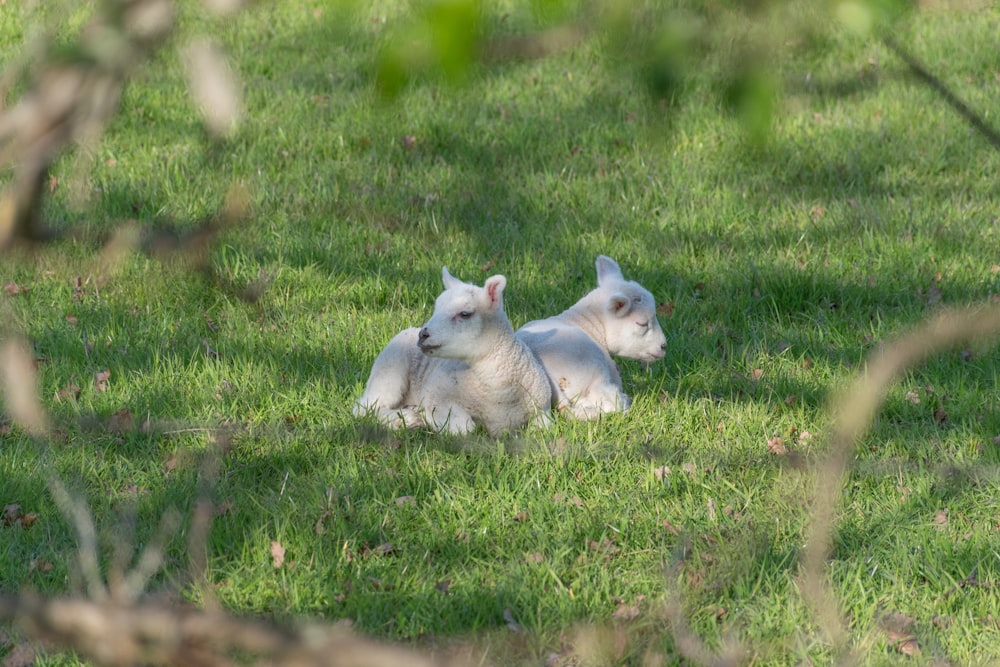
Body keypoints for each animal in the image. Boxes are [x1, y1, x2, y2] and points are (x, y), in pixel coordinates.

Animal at [352, 266, 556, 438]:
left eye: (465, 314)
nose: (423, 334)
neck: (498, 396)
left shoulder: (543, 411)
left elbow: (542, 430)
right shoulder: (437, 397)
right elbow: (465, 428)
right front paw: (424, 418)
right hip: (389, 370)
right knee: (365, 408)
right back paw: (405, 419)